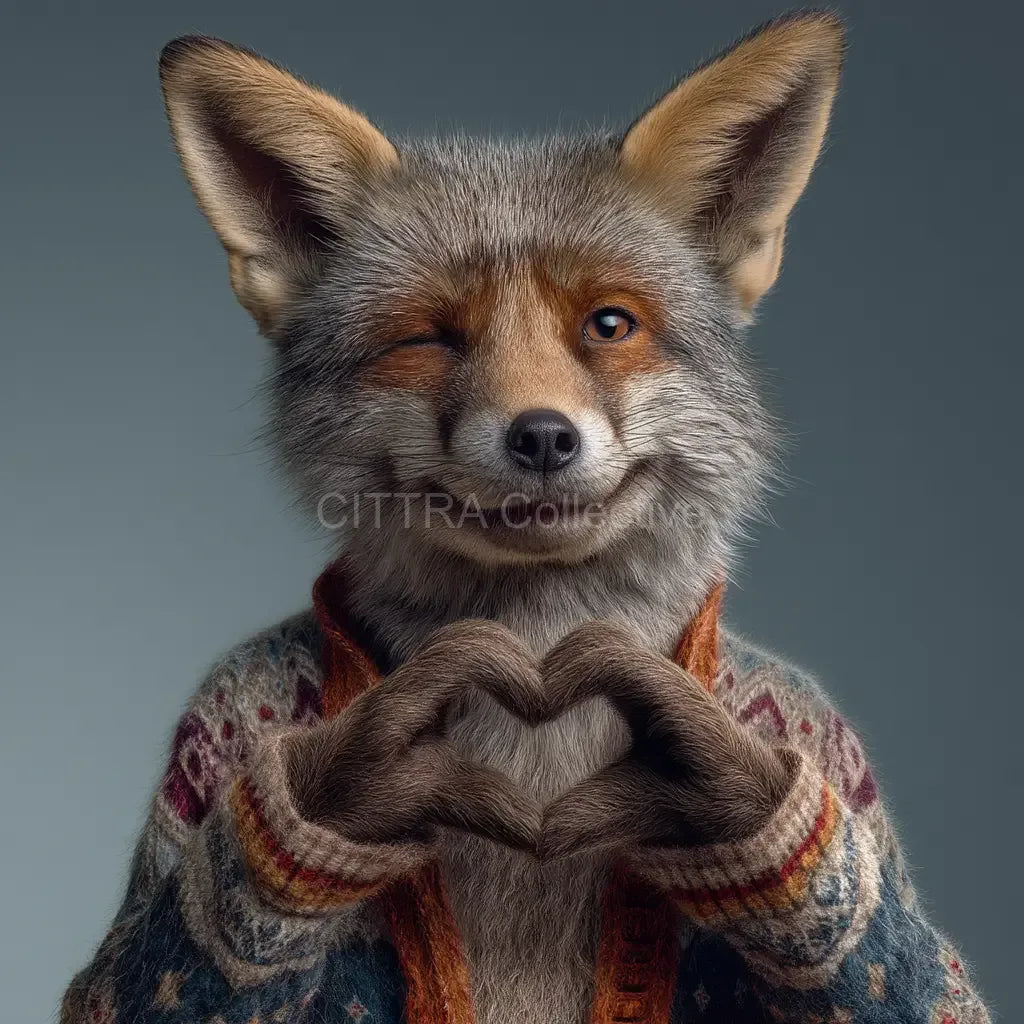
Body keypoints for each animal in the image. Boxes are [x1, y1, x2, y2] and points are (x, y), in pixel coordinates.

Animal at [62, 11, 991, 1024]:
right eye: (431, 338)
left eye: (609, 325)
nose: (542, 437)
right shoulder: (215, 716)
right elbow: (116, 986)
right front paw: (357, 776)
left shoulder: (821, 731)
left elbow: (937, 985)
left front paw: (717, 778)